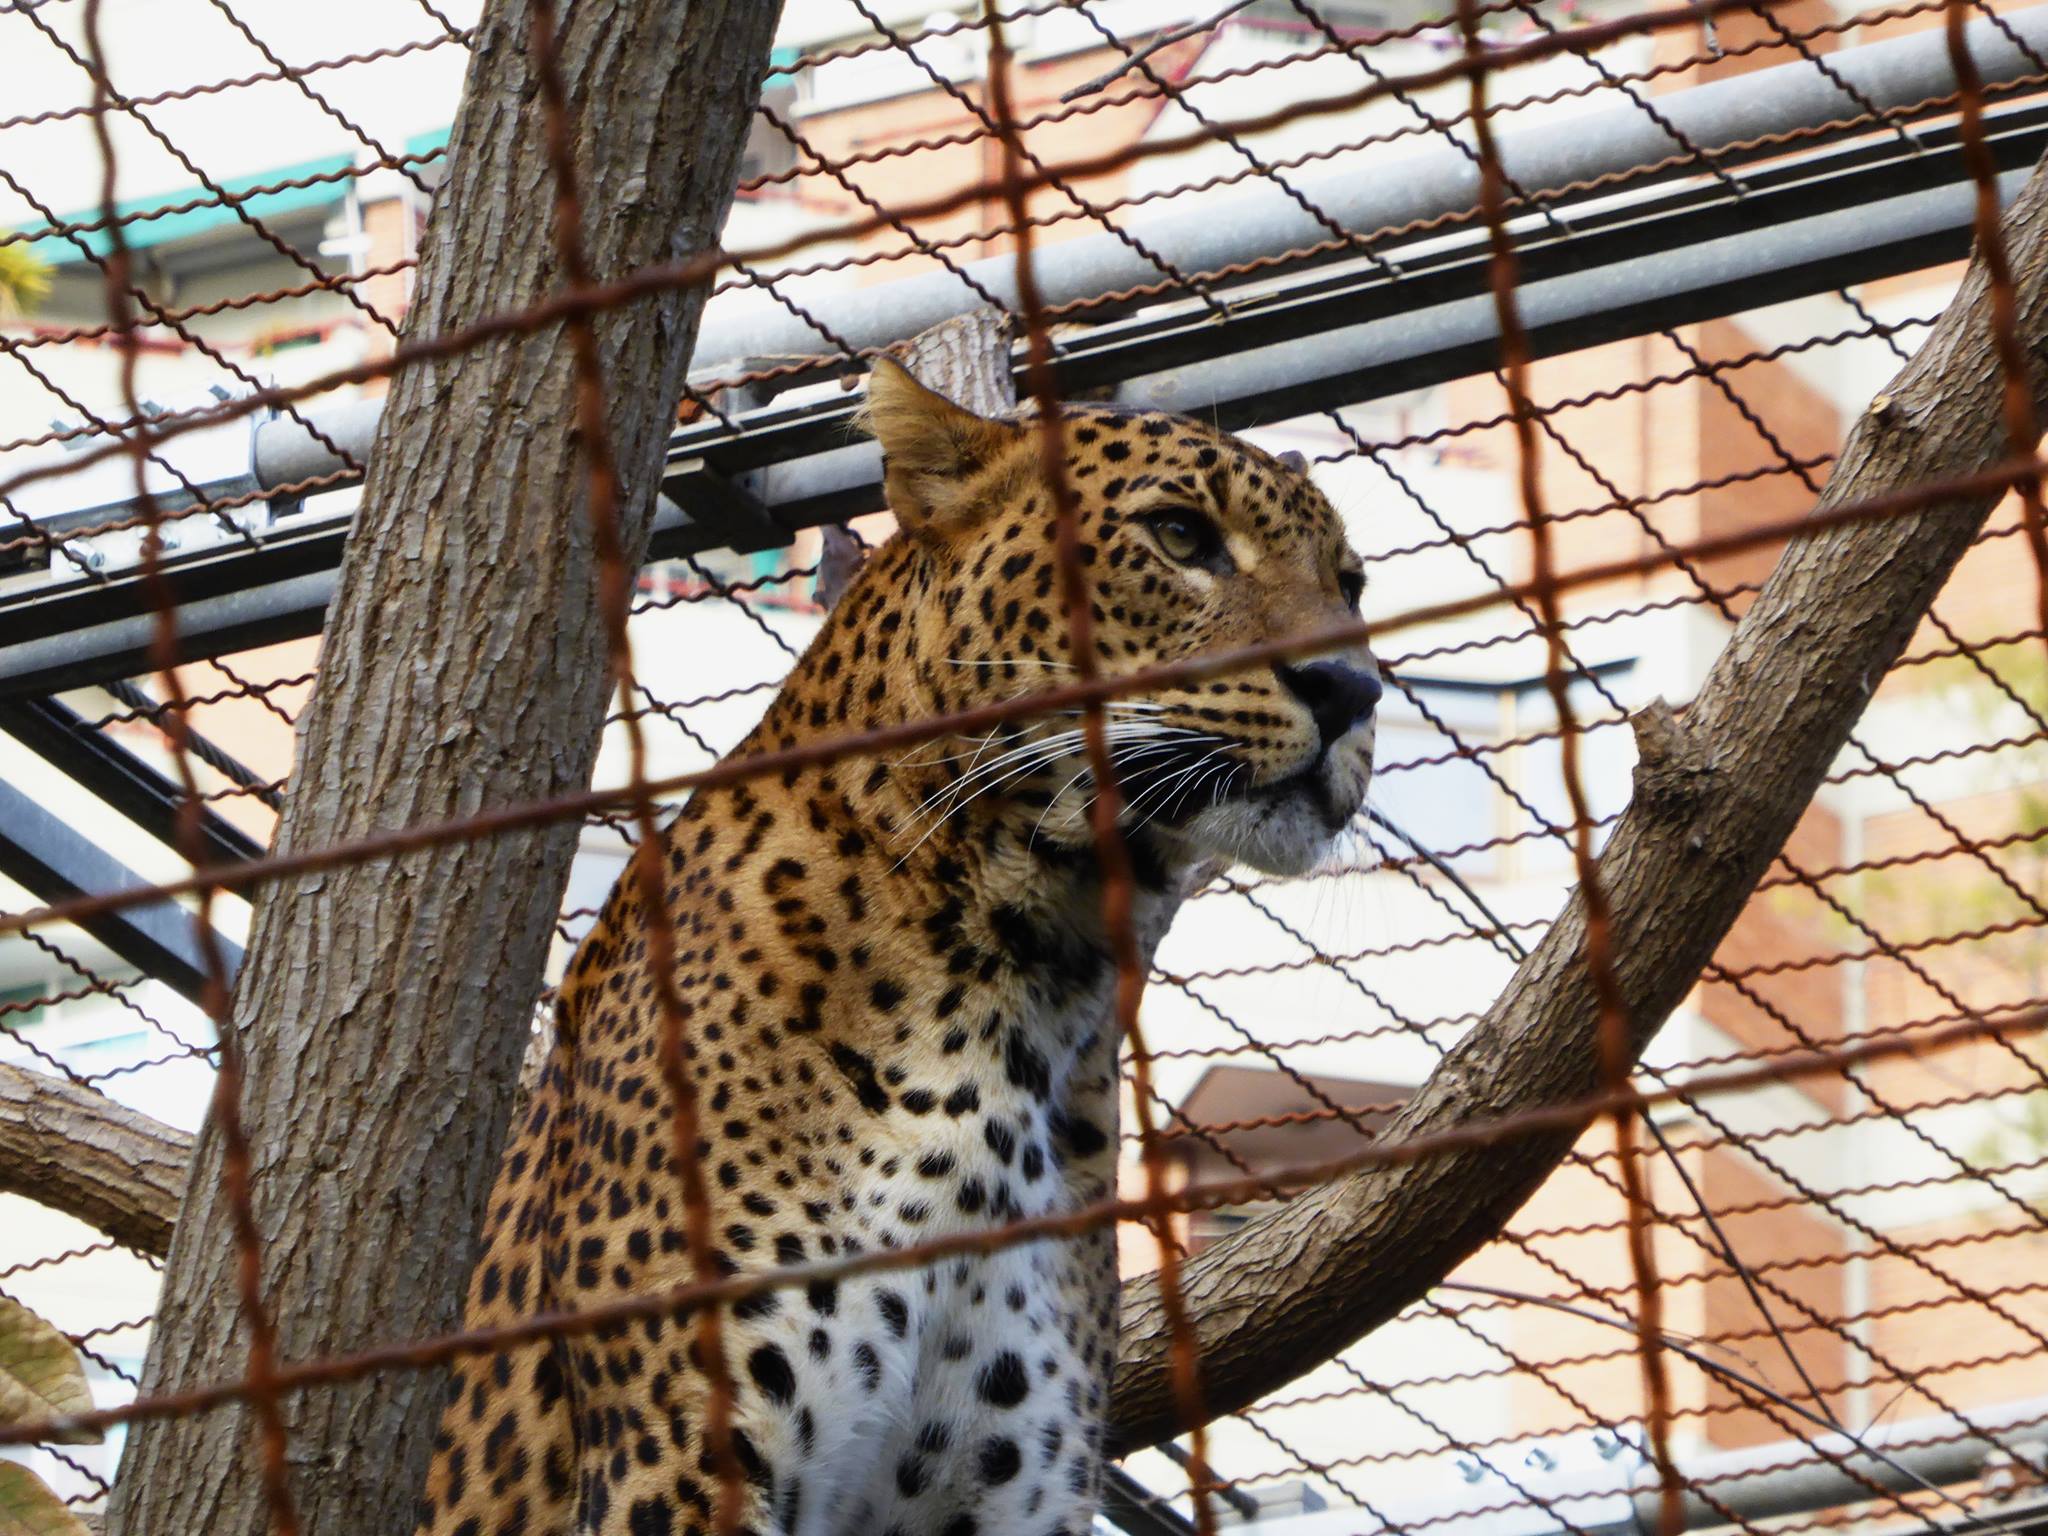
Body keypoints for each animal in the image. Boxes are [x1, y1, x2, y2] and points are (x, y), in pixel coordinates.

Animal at [411, 360, 1376, 1536]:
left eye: (1350, 585)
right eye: (1181, 535)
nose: (1353, 690)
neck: (1026, 979)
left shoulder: (1006, 1491)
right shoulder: (679, 1465)